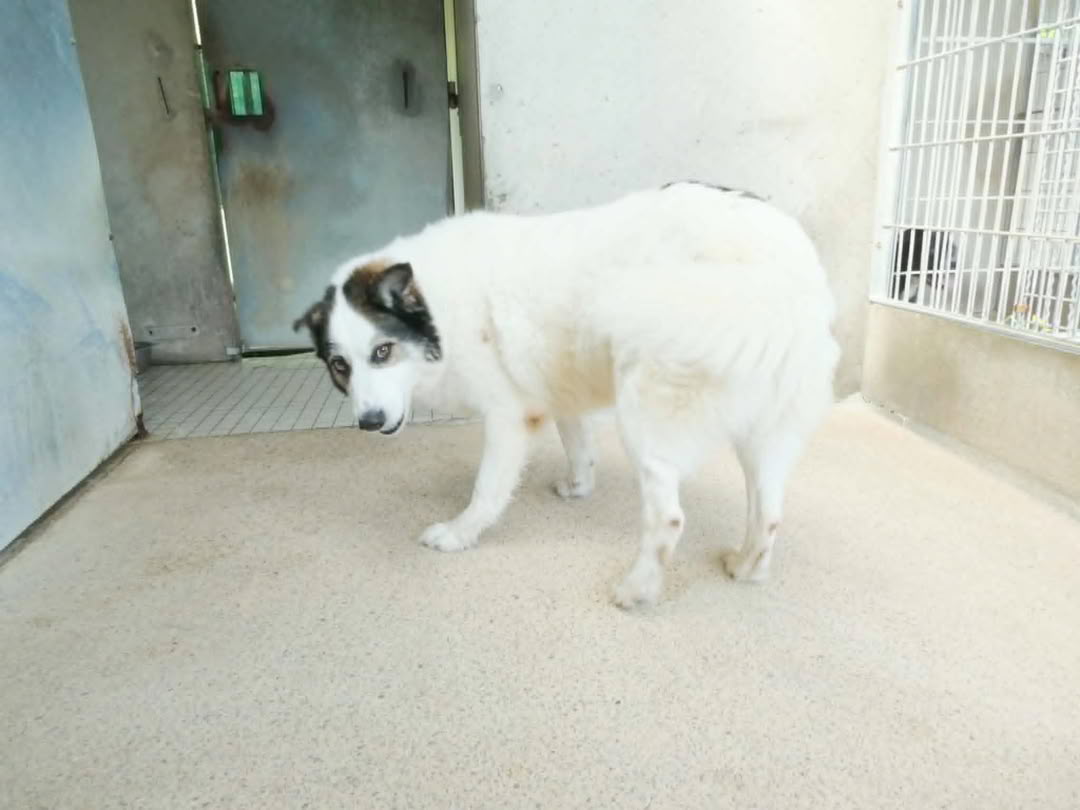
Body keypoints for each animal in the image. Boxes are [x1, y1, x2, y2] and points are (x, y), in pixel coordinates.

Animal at [294, 182, 839, 607]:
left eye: (382, 351)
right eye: (340, 366)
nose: (369, 421)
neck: (436, 304)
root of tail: (784, 277)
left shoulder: (508, 416)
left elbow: (487, 490)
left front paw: (459, 534)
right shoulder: (558, 397)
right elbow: (578, 446)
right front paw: (579, 488)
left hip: (647, 419)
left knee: (668, 519)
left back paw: (636, 591)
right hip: (765, 436)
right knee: (768, 514)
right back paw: (746, 568)